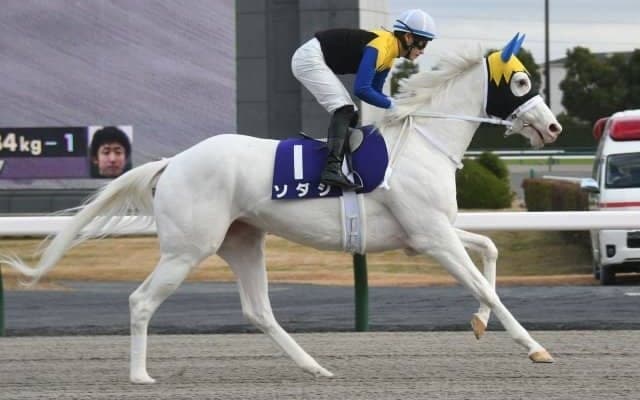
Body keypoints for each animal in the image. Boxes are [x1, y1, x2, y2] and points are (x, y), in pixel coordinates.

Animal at [1, 34, 562, 384]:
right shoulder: (432, 238)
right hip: (188, 249)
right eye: (519, 82)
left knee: (259, 310)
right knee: (142, 301)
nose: (554, 127)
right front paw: (534, 346)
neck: (423, 140)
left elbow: (489, 251)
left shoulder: (429, 233)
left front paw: (479, 324)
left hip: (244, 241)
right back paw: (141, 375)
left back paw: (315, 367)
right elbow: (486, 285)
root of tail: (173, 162)